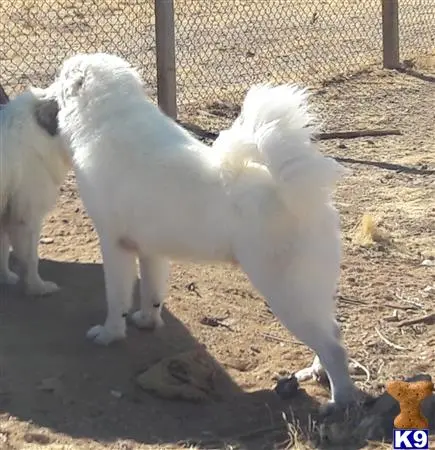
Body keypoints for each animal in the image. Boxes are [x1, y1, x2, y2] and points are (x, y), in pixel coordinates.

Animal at [0, 87, 70, 296]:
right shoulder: (26, 215)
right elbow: (31, 258)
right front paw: (38, 287)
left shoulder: (8, 210)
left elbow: (3, 250)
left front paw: (6, 277)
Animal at [47, 52, 356, 408]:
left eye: (59, 78)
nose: (45, 93)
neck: (106, 119)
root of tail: (293, 192)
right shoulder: (150, 251)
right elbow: (151, 293)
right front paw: (147, 322)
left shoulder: (115, 246)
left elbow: (116, 299)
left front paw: (109, 334)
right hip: (312, 293)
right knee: (333, 333)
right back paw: (317, 373)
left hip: (287, 294)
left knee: (334, 347)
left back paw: (340, 401)